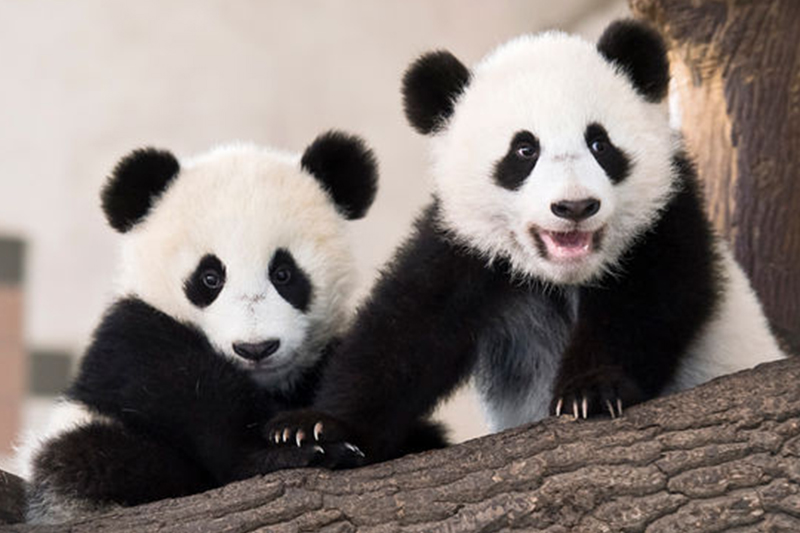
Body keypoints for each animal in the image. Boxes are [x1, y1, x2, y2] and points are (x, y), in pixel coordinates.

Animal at [21, 131, 382, 523]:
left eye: (284, 273)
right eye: (210, 277)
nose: (256, 348)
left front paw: (306, 427)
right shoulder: (131, 336)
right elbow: (187, 392)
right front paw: (294, 448)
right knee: (93, 456)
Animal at [264, 20, 786, 465]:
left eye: (600, 144)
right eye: (524, 150)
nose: (574, 206)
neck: (561, 277)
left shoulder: (666, 217)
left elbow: (652, 298)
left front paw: (591, 391)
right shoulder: (466, 246)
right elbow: (405, 332)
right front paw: (315, 427)